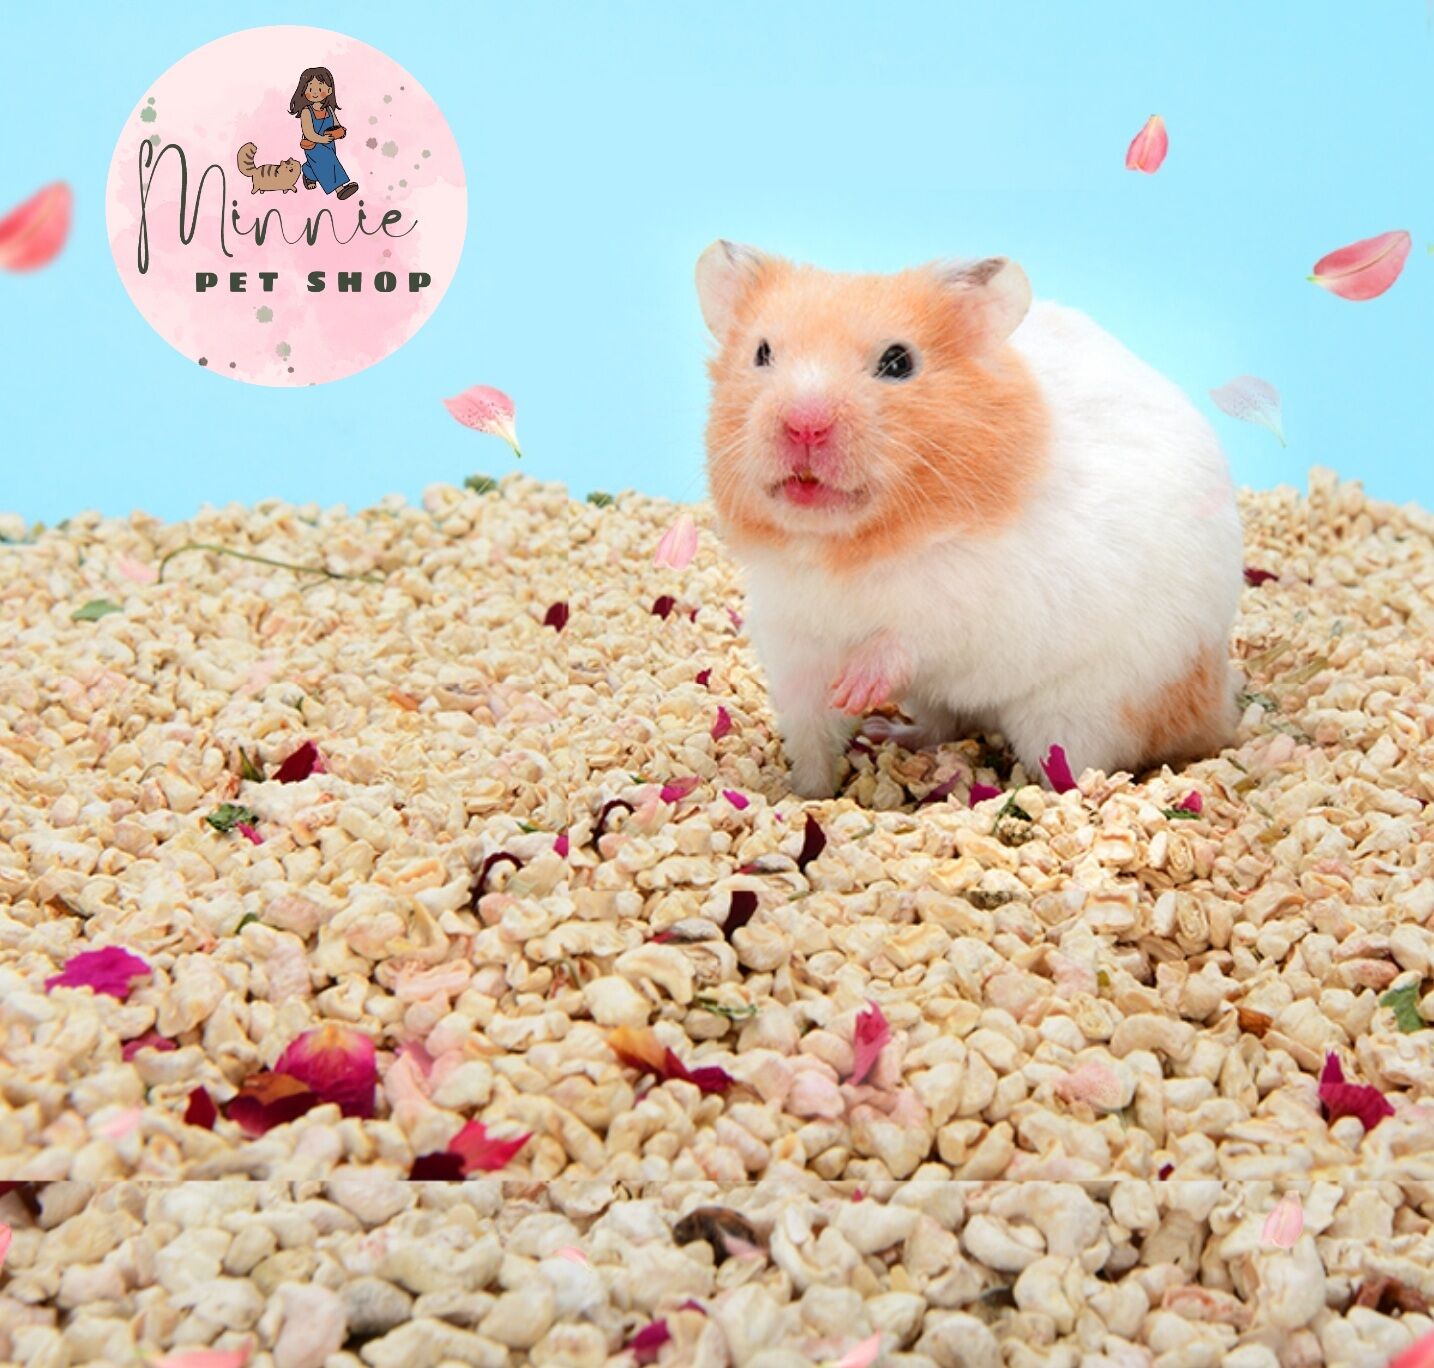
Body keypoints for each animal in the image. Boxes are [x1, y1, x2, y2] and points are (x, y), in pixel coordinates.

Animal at [695, 241, 1244, 799]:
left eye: (898, 362)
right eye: (762, 353)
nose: (804, 425)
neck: (846, 547)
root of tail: (1218, 709)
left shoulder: (973, 602)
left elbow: (904, 639)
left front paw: (854, 689)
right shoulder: (792, 638)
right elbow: (810, 733)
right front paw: (806, 794)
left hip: (1085, 710)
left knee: (1078, 767)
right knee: (946, 725)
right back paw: (892, 733)